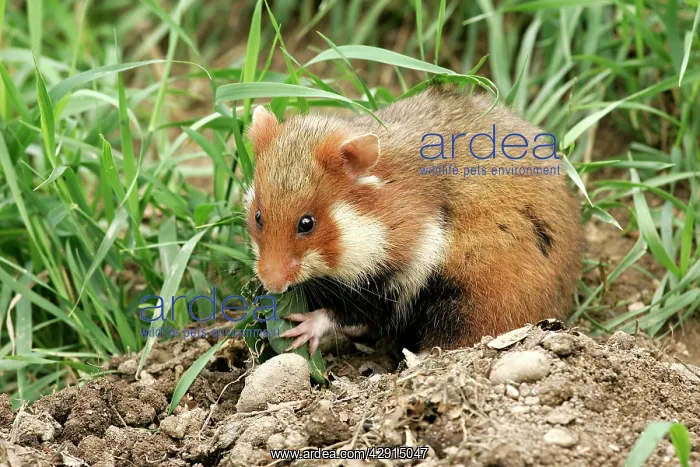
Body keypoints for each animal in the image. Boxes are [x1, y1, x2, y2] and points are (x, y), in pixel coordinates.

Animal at [244, 86, 583, 354]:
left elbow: (350, 312)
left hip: (474, 296)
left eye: (307, 223)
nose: (271, 284)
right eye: (259, 216)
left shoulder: (407, 270)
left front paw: (301, 329)